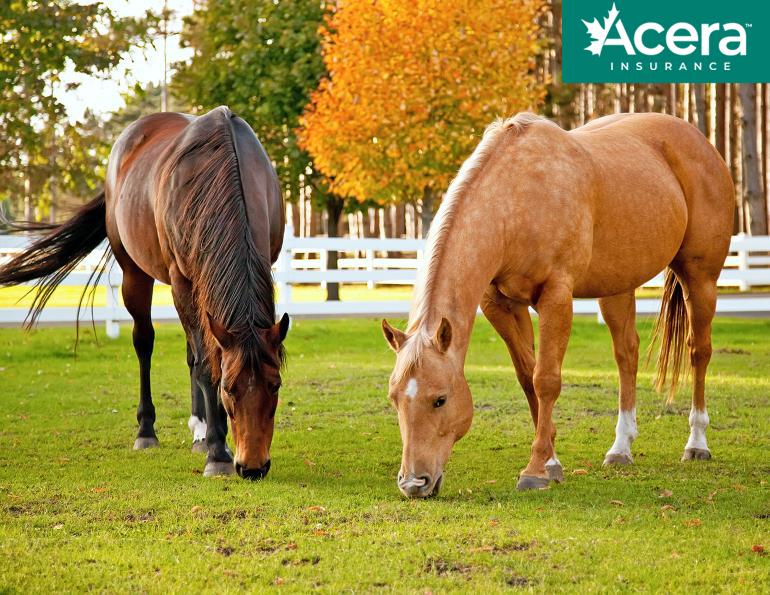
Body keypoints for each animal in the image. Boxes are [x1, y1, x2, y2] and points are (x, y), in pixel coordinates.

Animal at [0, 106, 289, 480]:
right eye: (229, 388)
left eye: (275, 385)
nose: (252, 467)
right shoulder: (182, 280)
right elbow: (206, 365)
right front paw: (217, 453)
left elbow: (203, 357)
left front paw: (213, 440)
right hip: (135, 274)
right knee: (146, 342)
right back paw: (148, 431)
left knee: (192, 351)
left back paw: (198, 429)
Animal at [382, 112, 733, 497]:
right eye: (394, 397)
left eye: (440, 399)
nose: (414, 483)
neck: (514, 200)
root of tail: (699, 141)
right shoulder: (499, 304)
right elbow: (527, 376)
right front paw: (551, 460)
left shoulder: (556, 297)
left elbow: (546, 379)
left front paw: (536, 469)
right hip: (616, 288)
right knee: (627, 354)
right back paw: (621, 448)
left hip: (700, 278)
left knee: (699, 351)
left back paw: (697, 443)